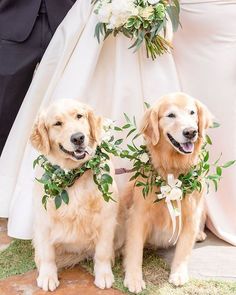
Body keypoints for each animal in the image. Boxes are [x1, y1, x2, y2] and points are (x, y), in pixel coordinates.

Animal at [30, 99, 119, 292]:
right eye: (57, 123)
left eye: (79, 116)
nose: (78, 138)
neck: (72, 174)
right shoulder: (44, 221)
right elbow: (47, 254)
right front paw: (47, 276)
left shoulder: (107, 219)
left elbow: (102, 252)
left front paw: (104, 275)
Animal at [122, 92, 213, 294]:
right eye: (171, 115)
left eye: (192, 113)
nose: (190, 132)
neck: (173, 169)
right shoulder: (138, 215)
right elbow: (134, 249)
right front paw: (133, 278)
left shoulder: (191, 213)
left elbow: (184, 249)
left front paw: (178, 274)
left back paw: (200, 234)